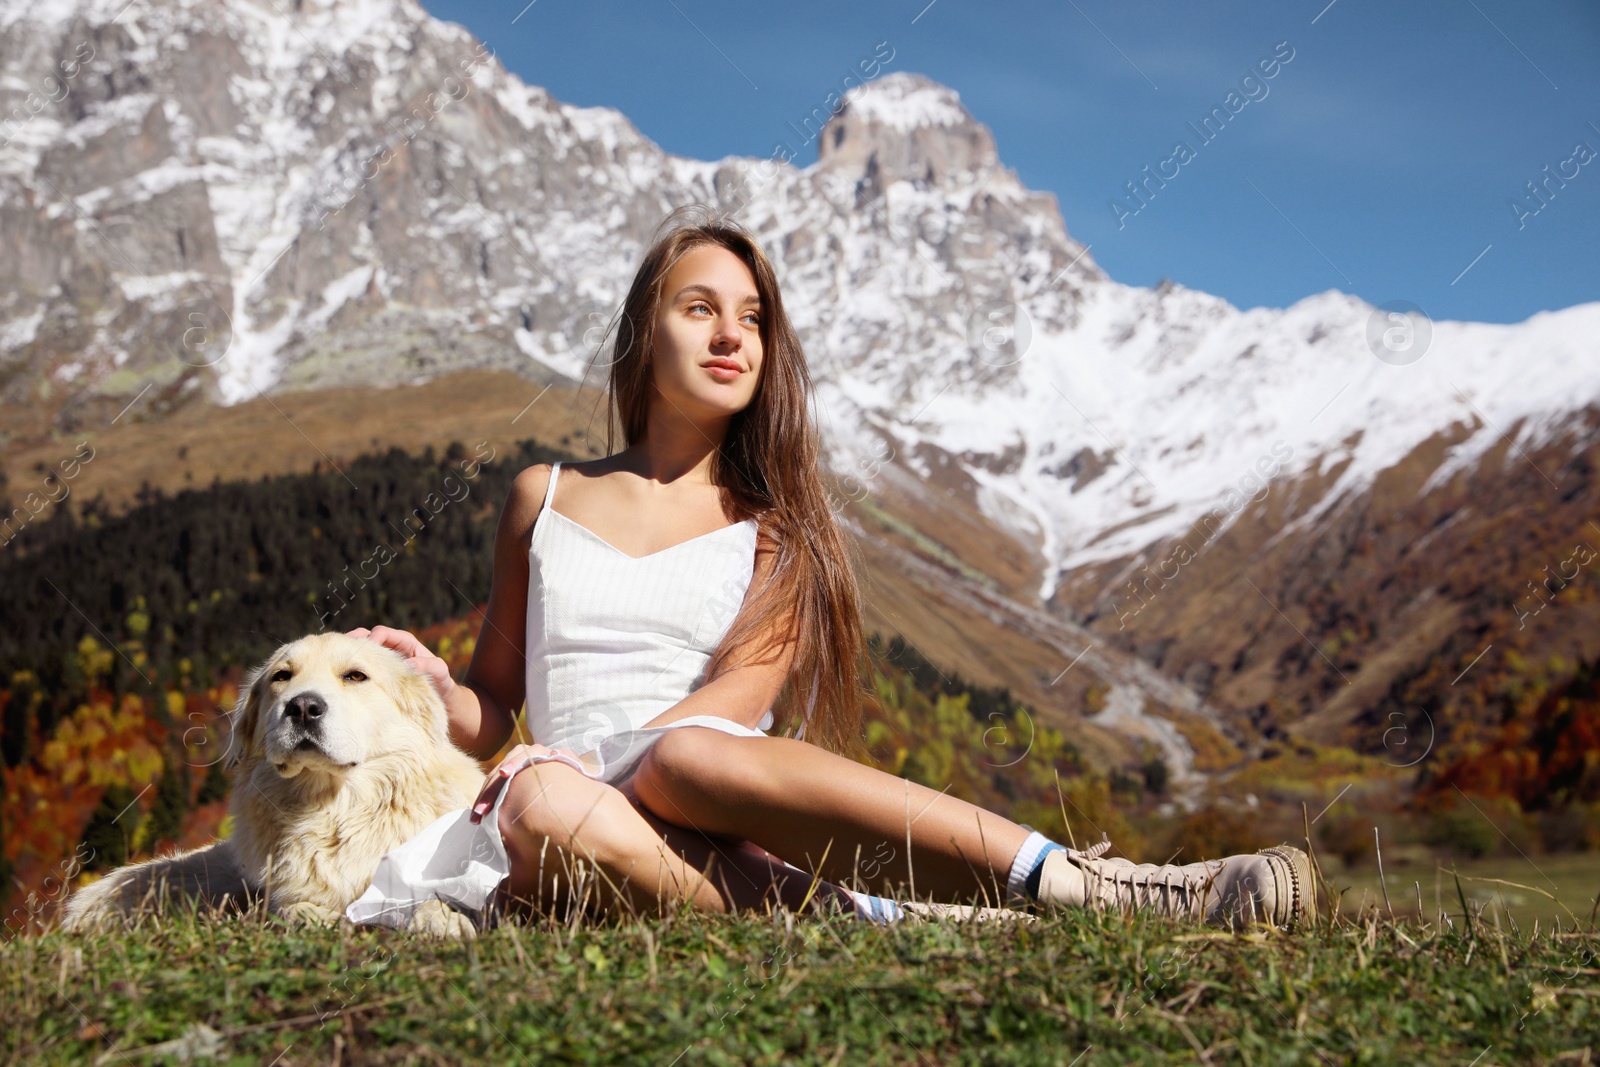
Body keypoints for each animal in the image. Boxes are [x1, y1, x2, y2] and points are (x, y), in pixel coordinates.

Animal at [59, 630, 483, 940]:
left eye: (355, 676)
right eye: (282, 677)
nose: (303, 707)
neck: (332, 810)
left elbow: (425, 900)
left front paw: (443, 920)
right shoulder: (278, 895)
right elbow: (292, 908)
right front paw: (320, 918)